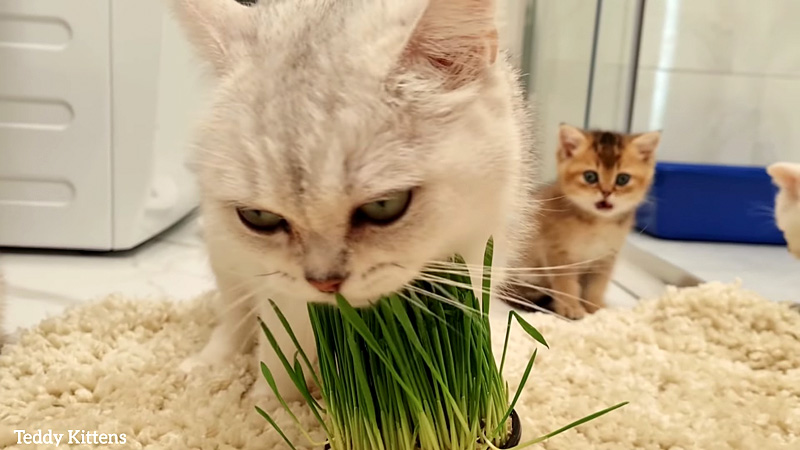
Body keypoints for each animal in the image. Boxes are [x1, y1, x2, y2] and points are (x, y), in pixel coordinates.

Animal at [170, 0, 536, 400]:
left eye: (385, 205)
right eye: (257, 217)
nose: (325, 283)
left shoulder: (478, 253)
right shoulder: (280, 288)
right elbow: (282, 352)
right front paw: (271, 406)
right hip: (225, 254)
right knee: (233, 314)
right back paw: (209, 365)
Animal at [510, 125, 660, 318]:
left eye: (622, 179)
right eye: (590, 177)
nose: (606, 192)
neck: (597, 224)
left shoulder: (605, 259)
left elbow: (597, 286)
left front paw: (595, 307)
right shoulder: (559, 255)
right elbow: (566, 285)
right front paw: (571, 308)